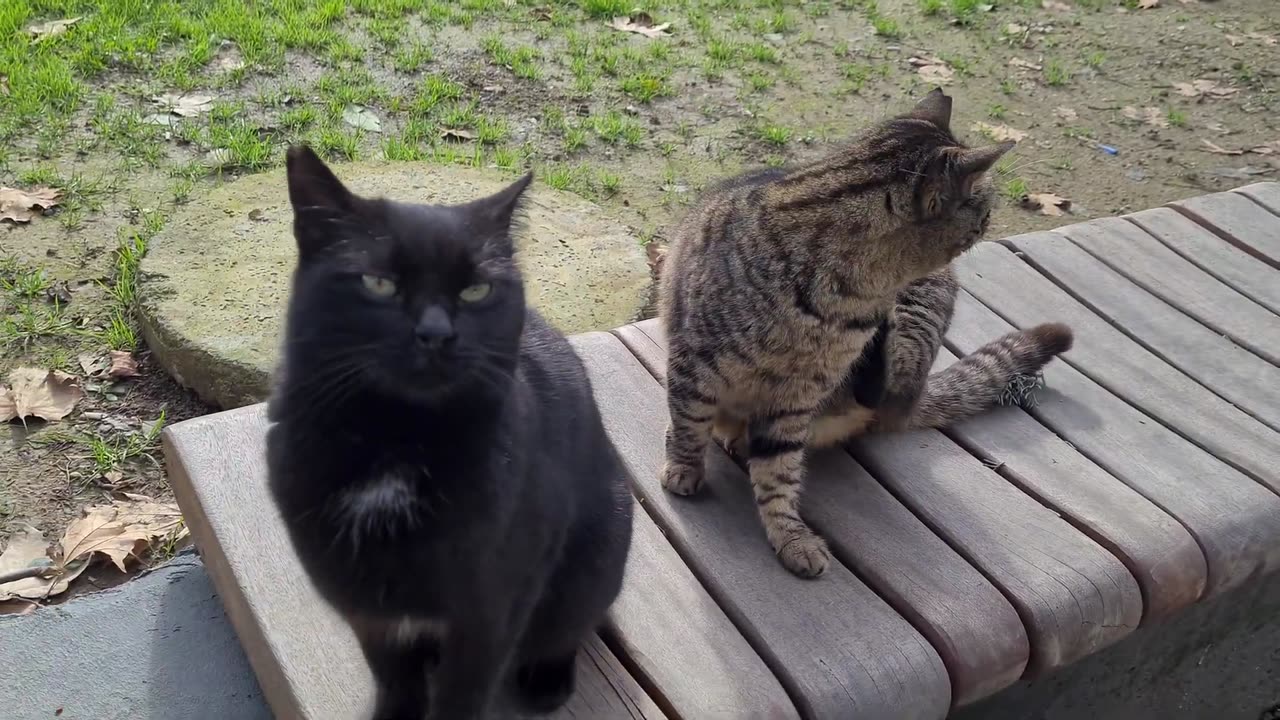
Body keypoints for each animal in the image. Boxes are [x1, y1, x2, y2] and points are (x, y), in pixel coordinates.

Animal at [266, 146, 634, 717]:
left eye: (476, 290)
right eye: (379, 283)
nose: (437, 334)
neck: (395, 440)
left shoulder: (493, 608)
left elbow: (464, 690)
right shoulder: (366, 605)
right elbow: (393, 673)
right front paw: (394, 714)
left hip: (598, 556)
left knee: (571, 626)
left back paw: (547, 679)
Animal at [660, 89, 1070, 573]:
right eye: (985, 212)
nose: (992, 223)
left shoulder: (797, 397)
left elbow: (778, 472)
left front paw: (790, 534)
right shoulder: (695, 364)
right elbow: (689, 424)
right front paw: (684, 468)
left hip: (908, 338)